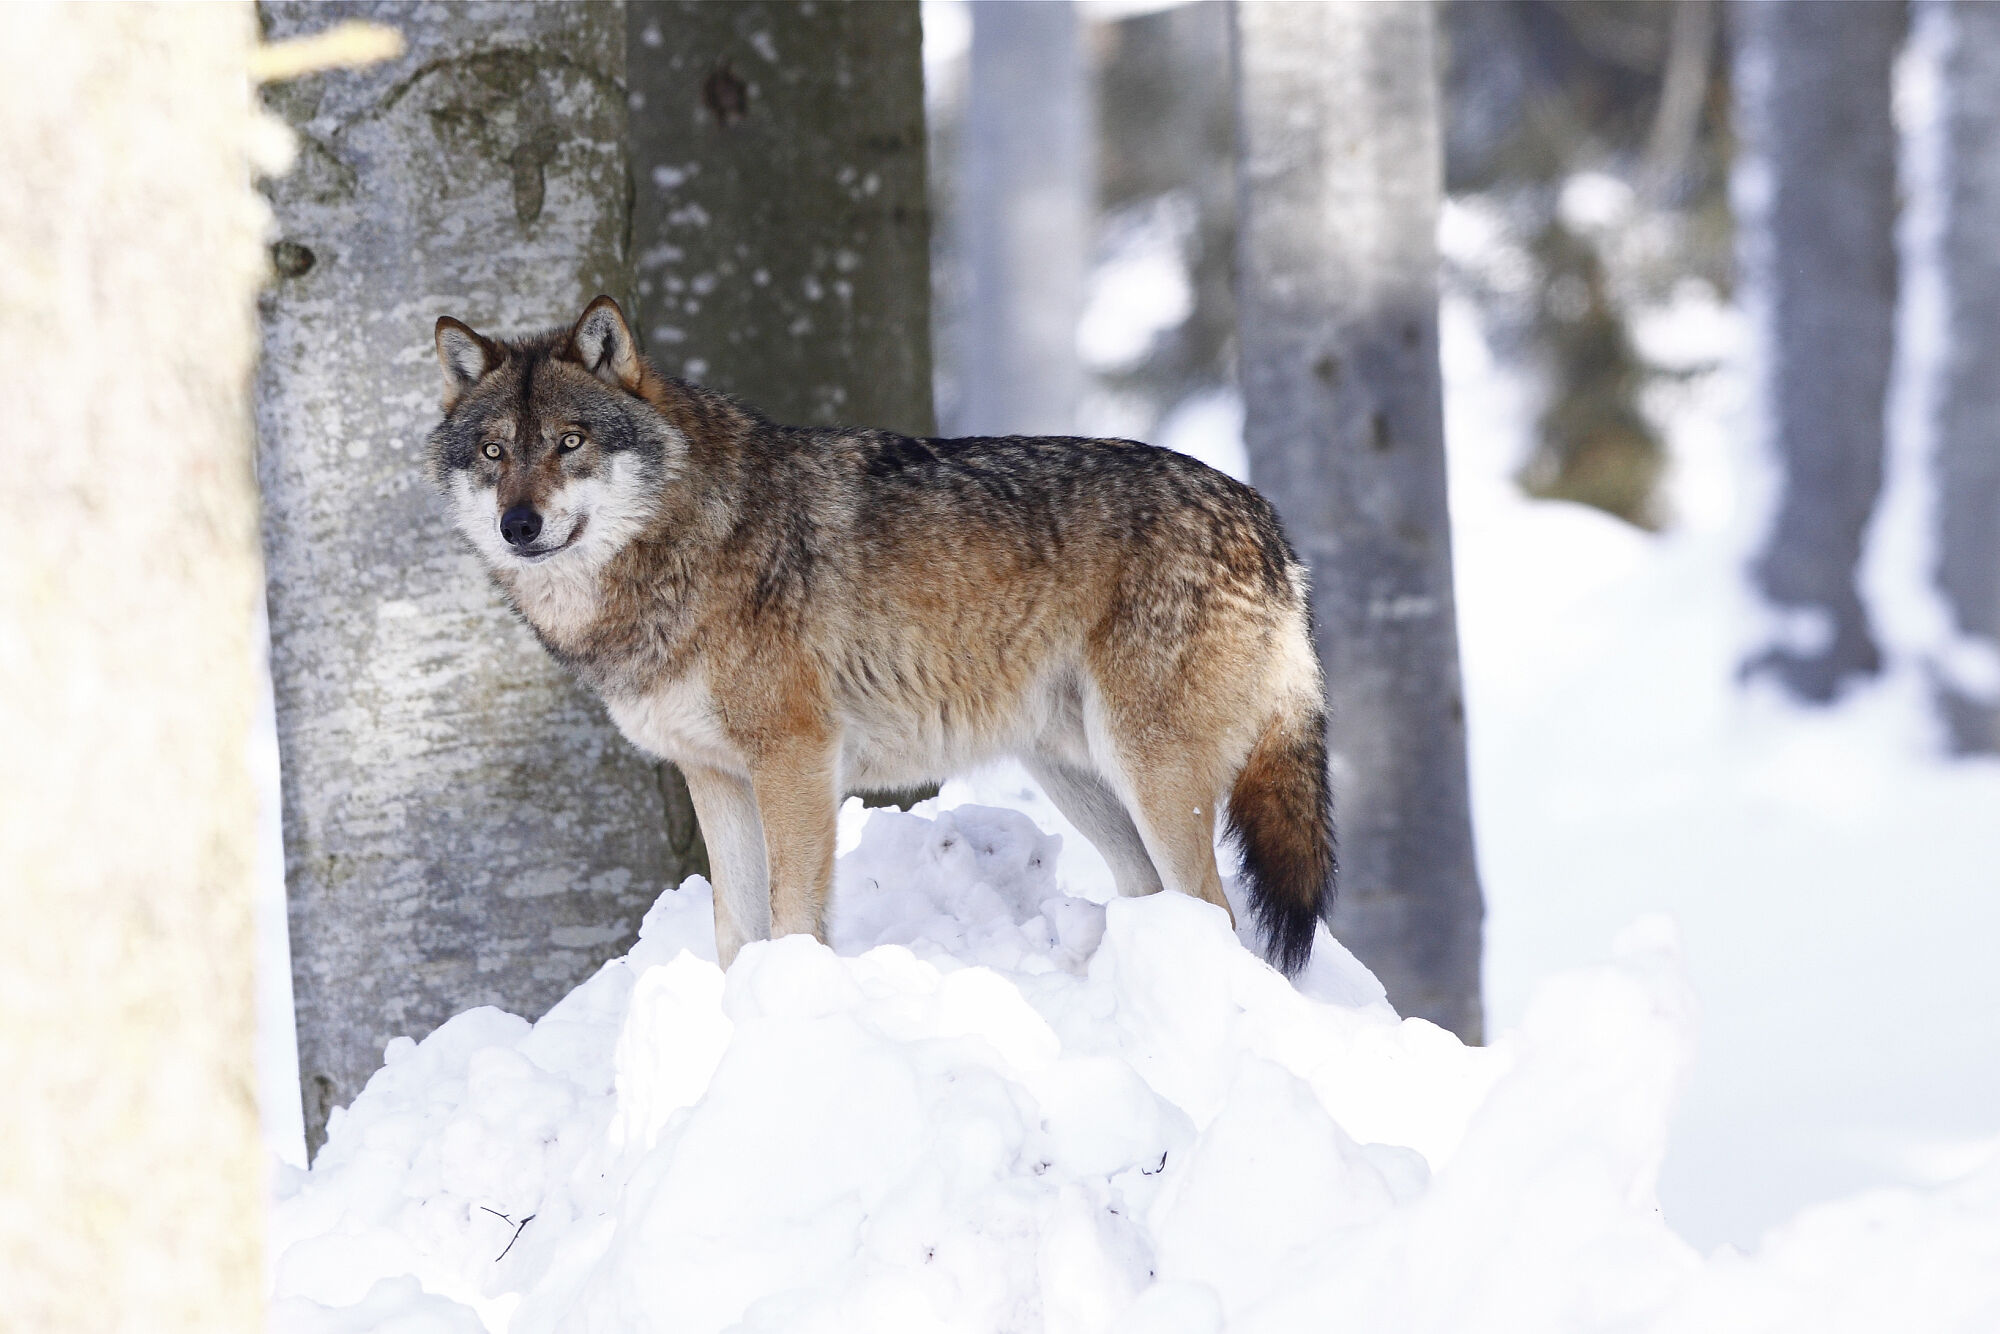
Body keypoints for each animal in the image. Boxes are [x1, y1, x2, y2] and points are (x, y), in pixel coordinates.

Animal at [426, 298, 1328, 976]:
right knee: (1159, 900)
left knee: (1219, 914)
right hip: (1084, 779)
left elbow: (791, 915)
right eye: (494, 451)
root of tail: (1264, 516)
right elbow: (734, 930)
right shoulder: (713, 777)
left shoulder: (794, 757)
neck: (688, 538)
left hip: (1148, 771)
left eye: (570, 442)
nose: (518, 525)